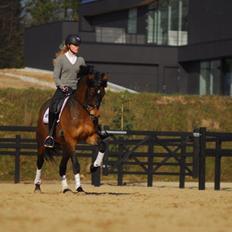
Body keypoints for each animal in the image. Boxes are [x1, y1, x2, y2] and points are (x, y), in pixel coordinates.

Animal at [33, 65, 109, 194]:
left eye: (102, 93)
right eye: (91, 91)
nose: (95, 115)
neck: (82, 112)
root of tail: (44, 106)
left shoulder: (90, 137)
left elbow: (102, 146)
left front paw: (93, 167)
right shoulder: (72, 140)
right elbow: (76, 164)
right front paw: (79, 188)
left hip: (65, 147)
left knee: (62, 167)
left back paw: (66, 189)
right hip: (43, 143)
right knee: (40, 162)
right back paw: (37, 186)